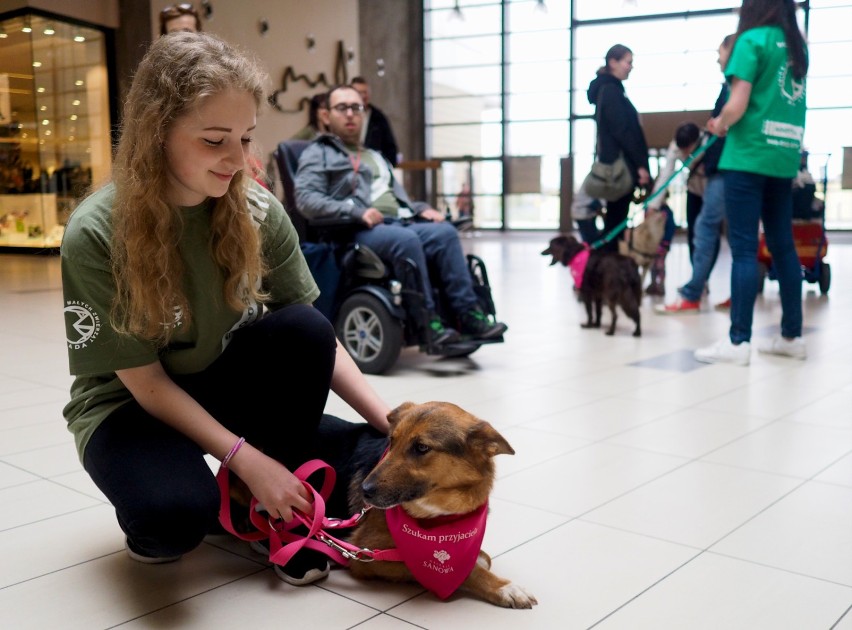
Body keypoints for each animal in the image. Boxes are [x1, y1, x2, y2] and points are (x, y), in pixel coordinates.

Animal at [312, 404, 540, 612]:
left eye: (421, 447)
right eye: (392, 441)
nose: (364, 490)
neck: (439, 511)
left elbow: (482, 558)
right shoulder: (366, 554)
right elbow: (464, 571)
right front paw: (504, 587)